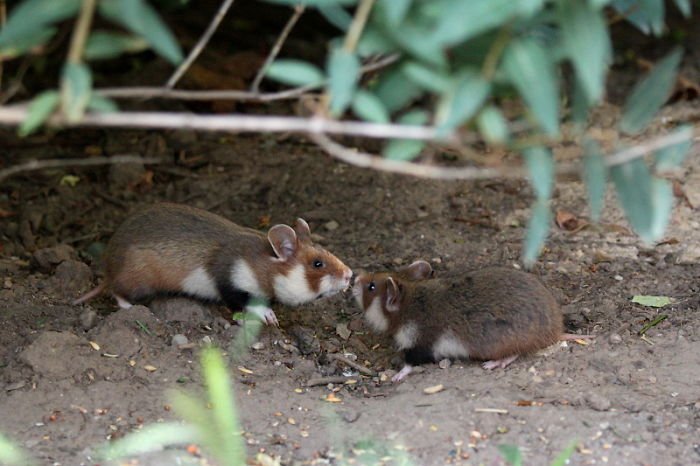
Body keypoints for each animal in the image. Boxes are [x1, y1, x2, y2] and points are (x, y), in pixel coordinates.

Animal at [74, 202, 352, 326]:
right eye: (317, 264)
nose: (350, 275)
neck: (265, 267)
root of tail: (108, 271)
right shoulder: (232, 283)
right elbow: (247, 303)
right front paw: (270, 316)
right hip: (137, 282)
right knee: (117, 292)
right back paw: (130, 308)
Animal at [352, 260, 588, 380]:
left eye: (371, 287)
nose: (354, 278)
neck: (409, 303)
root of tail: (555, 331)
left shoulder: (419, 345)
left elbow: (409, 364)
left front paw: (396, 376)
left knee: (515, 353)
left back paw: (494, 363)